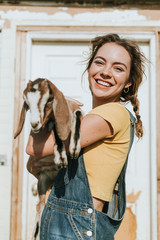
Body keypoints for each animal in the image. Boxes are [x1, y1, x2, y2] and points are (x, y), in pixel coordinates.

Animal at [14, 78, 83, 239]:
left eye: (49, 100)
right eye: (27, 103)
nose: (34, 124)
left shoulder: (76, 111)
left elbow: (77, 114)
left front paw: (74, 148)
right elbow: (56, 130)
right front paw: (61, 157)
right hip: (42, 182)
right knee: (40, 211)